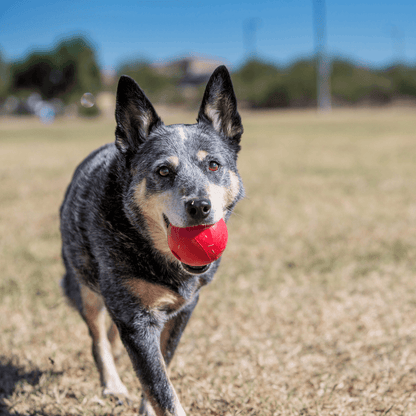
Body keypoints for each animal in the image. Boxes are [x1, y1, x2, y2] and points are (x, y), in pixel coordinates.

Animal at [60, 66, 245, 414]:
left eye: (213, 165)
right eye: (163, 171)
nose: (200, 206)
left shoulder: (184, 309)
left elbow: (162, 366)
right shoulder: (135, 319)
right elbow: (161, 387)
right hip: (84, 284)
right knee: (97, 337)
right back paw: (113, 385)